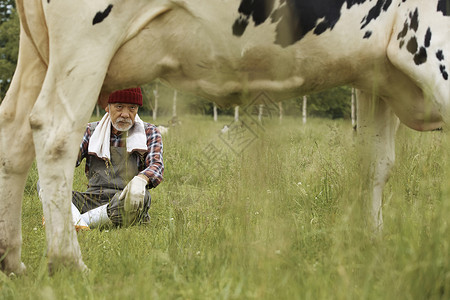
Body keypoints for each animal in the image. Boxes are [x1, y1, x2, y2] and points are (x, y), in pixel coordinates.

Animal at [0, 0, 448, 274]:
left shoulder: (375, 75)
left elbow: (374, 165)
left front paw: (371, 247)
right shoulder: (430, 45)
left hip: (39, 51)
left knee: (13, 132)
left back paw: (13, 262)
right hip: (86, 41)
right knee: (54, 130)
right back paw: (68, 263)